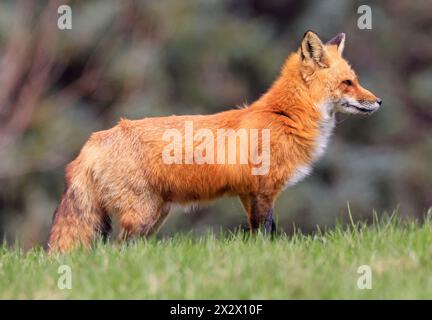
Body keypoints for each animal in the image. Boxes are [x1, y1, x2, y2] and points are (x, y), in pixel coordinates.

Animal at [47, 31, 382, 252]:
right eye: (348, 83)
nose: (379, 101)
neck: (284, 115)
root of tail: (92, 141)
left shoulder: (248, 193)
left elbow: (259, 230)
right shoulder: (264, 190)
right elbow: (266, 231)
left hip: (155, 214)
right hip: (143, 215)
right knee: (117, 250)